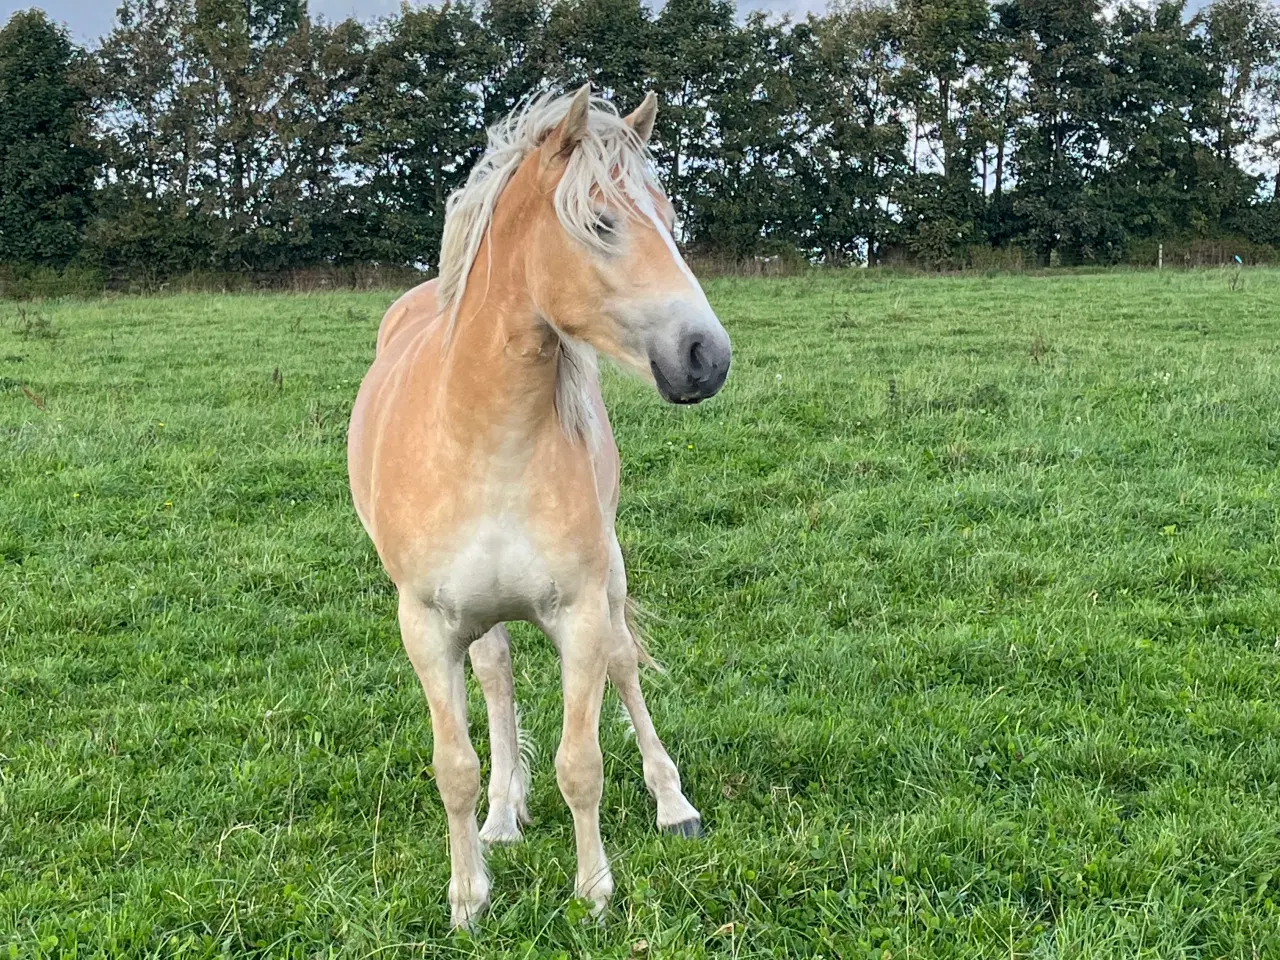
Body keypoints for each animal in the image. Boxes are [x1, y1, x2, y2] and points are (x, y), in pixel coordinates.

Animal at [348, 86, 732, 926]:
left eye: (670, 216)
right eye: (601, 222)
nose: (706, 357)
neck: (487, 441)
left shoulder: (581, 612)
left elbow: (581, 760)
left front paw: (594, 892)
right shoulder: (426, 627)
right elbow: (453, 766)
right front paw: (468, 897)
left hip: (608, 583)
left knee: (623, 666)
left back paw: (673, 805)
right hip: (478, 620)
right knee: (496, 680)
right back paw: (501, 818)